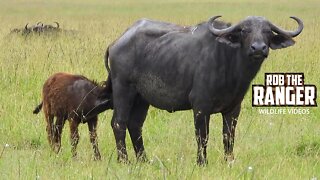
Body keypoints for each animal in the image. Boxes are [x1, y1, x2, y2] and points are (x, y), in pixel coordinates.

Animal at [105, 15, 302, 165]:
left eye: (267, 31)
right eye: (244, 31)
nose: (258, 48)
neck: (230, 63)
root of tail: (117, 42)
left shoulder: (233, 109)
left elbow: (228, 136)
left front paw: (229, 161)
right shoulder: (200, 107)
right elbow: (202, 136)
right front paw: (202, 162)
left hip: (141, 99)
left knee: (135, 125)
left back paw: (144, 160)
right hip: (123, 89)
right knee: (119, 123)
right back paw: (124, 160)